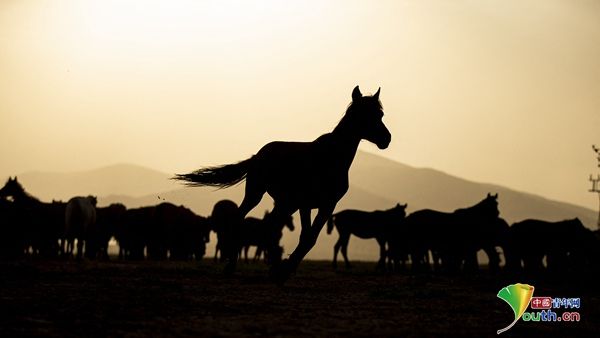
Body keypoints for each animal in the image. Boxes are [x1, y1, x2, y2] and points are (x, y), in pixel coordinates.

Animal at [173, 86, 392, 284]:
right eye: (364, 114)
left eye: (380, 114)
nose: (386, 139)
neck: (330, 158)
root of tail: (258, 155)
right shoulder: (306, 204)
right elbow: (307, 237)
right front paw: (284, 271)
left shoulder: (326, 205)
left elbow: (309, 238)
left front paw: (283, 270)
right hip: (256, 194)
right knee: (240, 219)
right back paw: (231, 265)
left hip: (285, 203)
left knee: (270, 228)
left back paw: (270, 267)